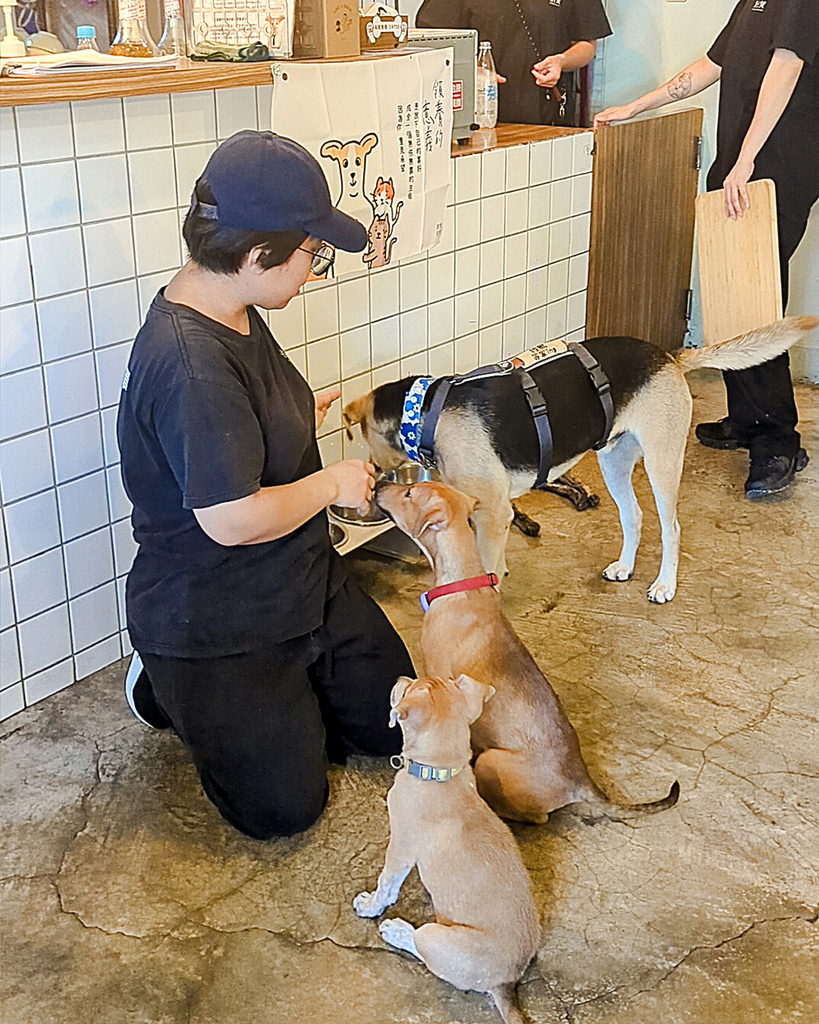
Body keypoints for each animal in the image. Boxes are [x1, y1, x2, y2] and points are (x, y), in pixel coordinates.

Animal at [341, 313, 814, 598]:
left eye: (367, 444)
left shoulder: (494, 513)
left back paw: (664, 584)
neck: (425, 412)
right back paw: (625, 566)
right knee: (633, 516)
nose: (375, 479)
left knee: (672, 527)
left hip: (662, 463)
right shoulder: (485, 512)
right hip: (614, 461)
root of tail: (668, 355)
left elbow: (486, 566)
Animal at [354, 671, 540, 1024]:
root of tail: (505, 983)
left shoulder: (400, 847)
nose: (401, 676)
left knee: (421, 945)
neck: (440, 774)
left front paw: (370, 905)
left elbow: (386, 885)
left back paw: (397, 930)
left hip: (433, 935)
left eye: (411, 687)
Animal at [372, 483, 679, 827]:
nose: (380, 483)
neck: (460, 582)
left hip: (493, 761)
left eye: (409, 493)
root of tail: (581, 782)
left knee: (535, 817)